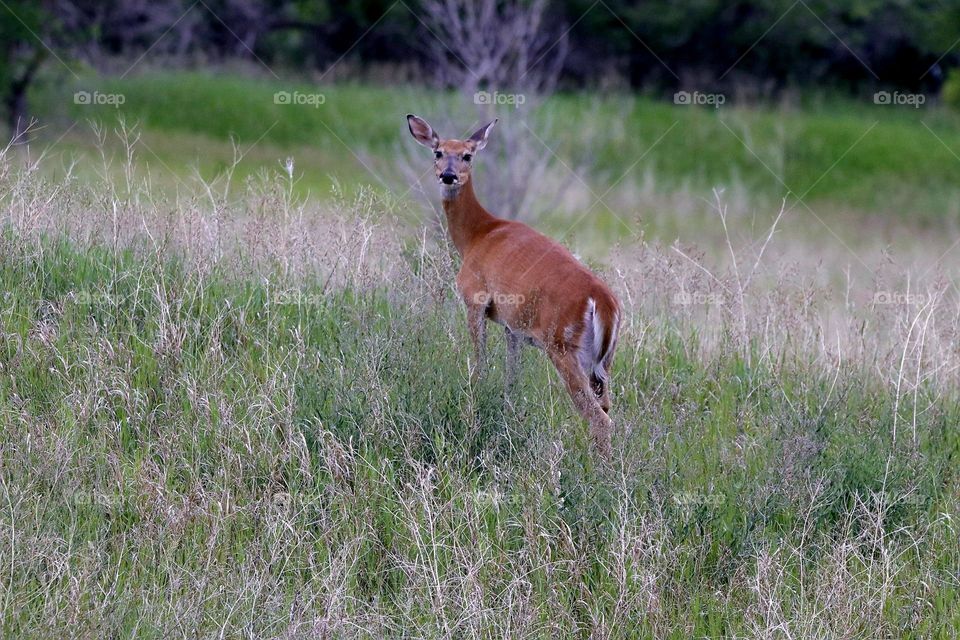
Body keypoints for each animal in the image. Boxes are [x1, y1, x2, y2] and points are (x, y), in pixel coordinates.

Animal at [407, 114, 622, 457]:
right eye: (438, 152)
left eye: (467, 155)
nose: (448, 175)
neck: (477, 235)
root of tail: (603, 301)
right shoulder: (513, 327)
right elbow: (512, 378)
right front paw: (507, 415)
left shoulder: (475, 298)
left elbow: (480, 362)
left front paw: (475, 400)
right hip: (603, 362)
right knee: (606, 406)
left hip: (563, 346)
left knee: (598, 418)